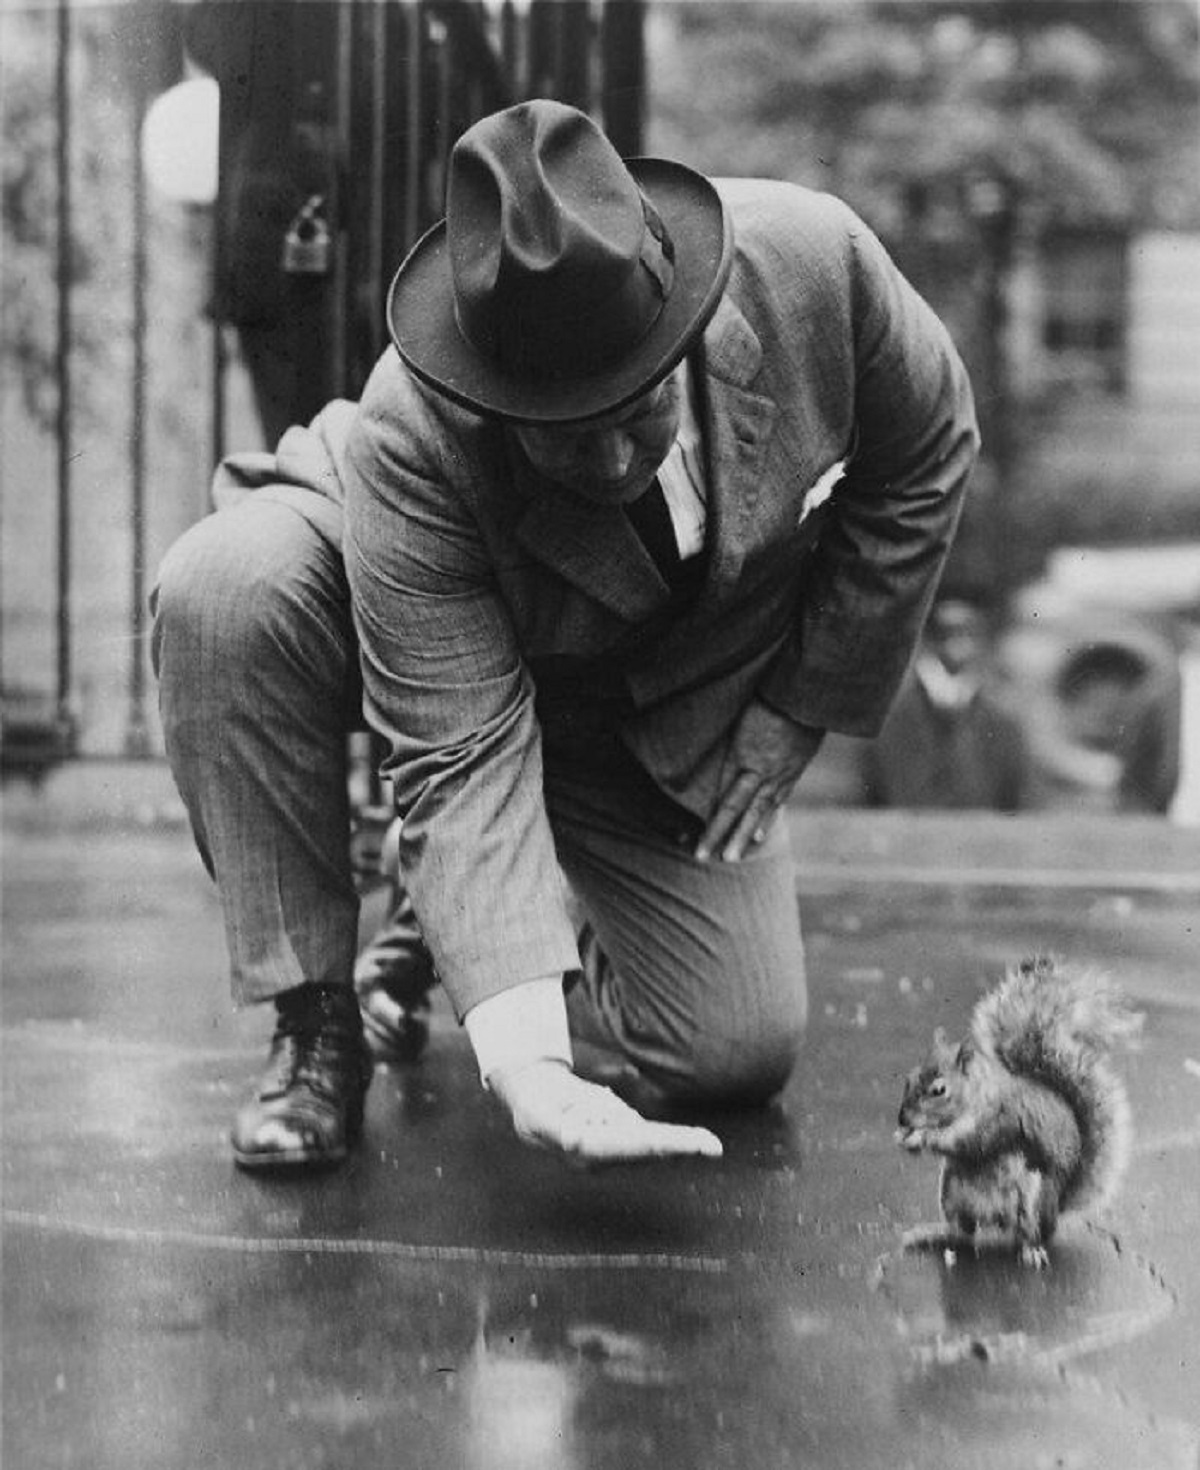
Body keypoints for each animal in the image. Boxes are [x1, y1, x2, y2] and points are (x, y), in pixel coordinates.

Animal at [894, 952, 1141, 1264]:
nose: (902, 1119)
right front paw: (904, 1137)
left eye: (939, 1090)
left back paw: (1031, 1250)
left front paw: (922, 1137)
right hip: (951, 1192)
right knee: (964, 1232)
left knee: (1027, 1233)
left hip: (1033, 1197)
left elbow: (968, 1143)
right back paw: (931, 1234)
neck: (979, 1095)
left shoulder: (1001, 1119)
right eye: (908, 1078)